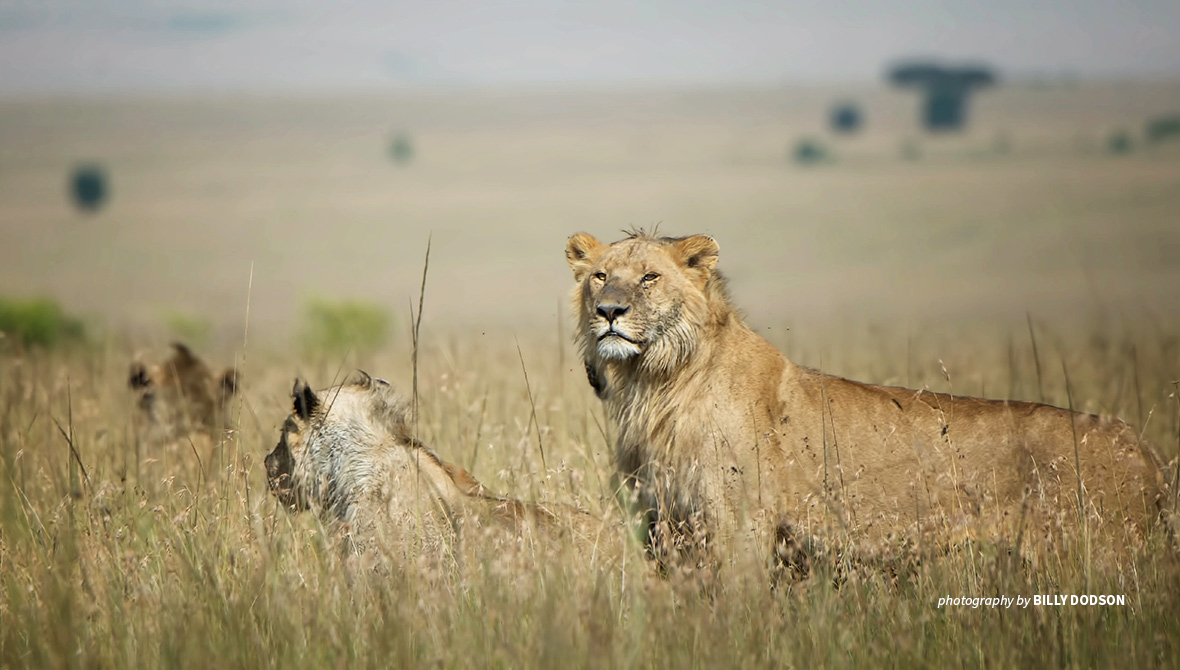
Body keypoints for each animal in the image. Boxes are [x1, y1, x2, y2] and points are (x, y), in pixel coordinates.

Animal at [564, 228, 1170, 570]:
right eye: (599, 276)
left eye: (649, 278)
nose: (610, 311)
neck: (654, 383)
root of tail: (1145, 449)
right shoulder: (664, 525)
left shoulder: (741, 524)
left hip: (1108, 562)